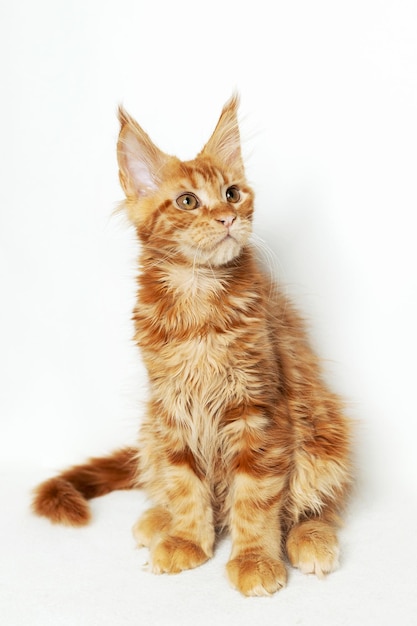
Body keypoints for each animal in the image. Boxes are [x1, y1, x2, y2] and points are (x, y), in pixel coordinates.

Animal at [32, 97, 352, 596]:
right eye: (188, 201)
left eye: (233, 193)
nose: (228, 218)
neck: (197, 299)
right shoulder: (172, 408)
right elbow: (184, 484)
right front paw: (186, 538)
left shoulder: (258, 408)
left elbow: (256, 498)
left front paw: (255, 559)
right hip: (151, 428)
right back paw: (156, 520)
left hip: (323, 427)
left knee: (319, 503)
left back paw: (311, 539)